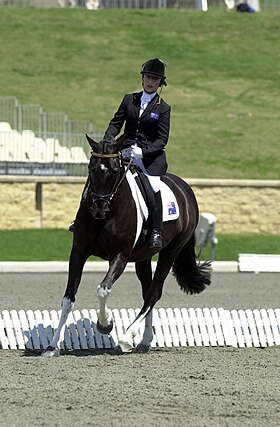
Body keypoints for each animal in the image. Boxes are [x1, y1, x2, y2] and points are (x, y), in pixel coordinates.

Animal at [42, 135, 211, 356]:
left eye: (115, 171)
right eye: (91, 169)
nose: (99, 209)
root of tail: (185, 189)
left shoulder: (120, 255)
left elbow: (103, 289)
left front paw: (106, 324)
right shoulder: (78, 252)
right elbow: (68, 298)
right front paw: (52, 346)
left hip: (170, 251)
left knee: (153, 293)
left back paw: (127, 338)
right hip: (144, 257)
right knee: (148, 291)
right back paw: (144, 341)